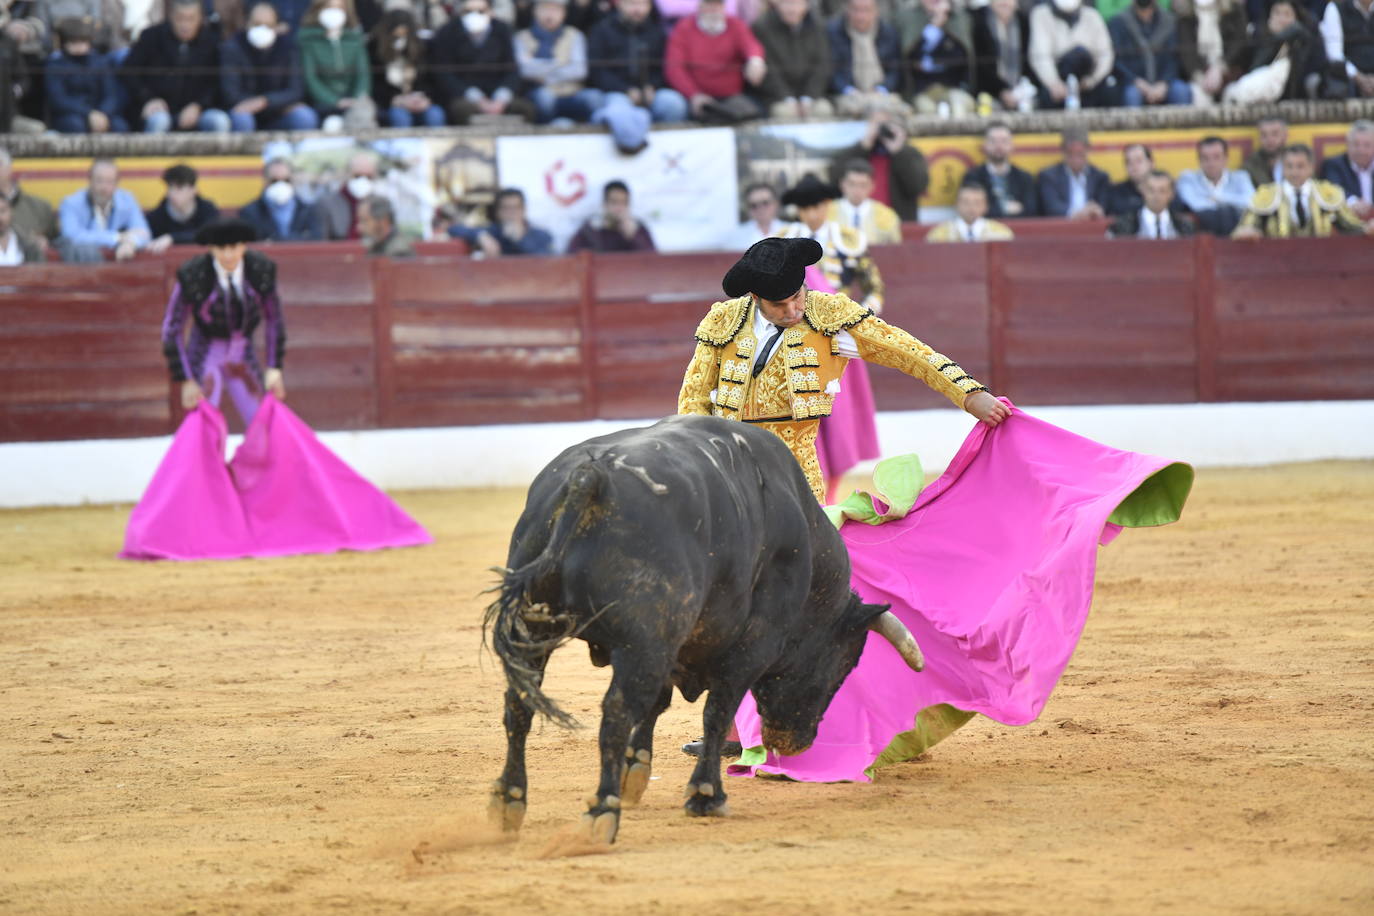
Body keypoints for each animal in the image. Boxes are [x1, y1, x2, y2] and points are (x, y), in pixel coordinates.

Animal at [483, 414, 923, 845]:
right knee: (616, 713)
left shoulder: (675, 639)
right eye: (845, 664)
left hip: (535, 632)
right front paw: (705, 795)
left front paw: (635, 772)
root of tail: (590, 477)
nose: (798, 741)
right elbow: (716, 711)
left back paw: (509, 802)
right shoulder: (752, 645)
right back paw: (601, 812)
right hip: (640, 644)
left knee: (519, 706)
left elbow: (659, 704)